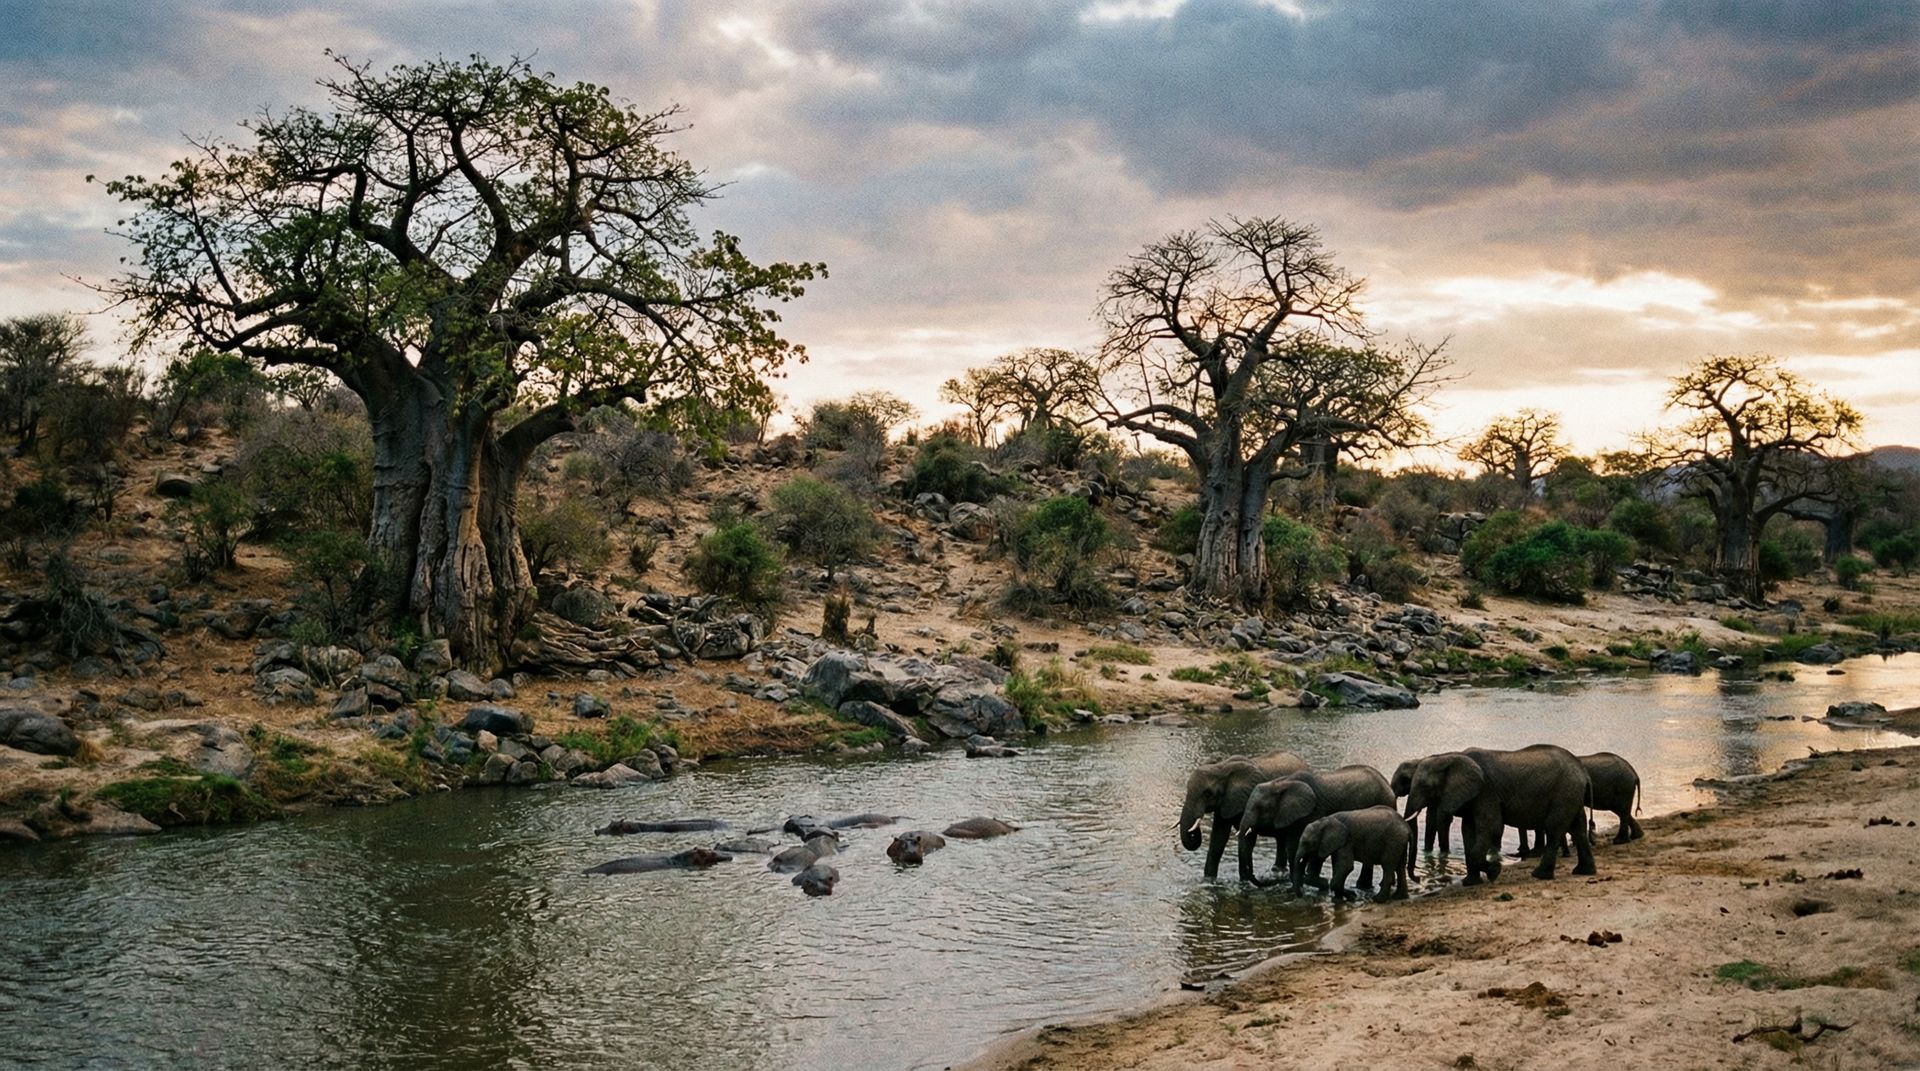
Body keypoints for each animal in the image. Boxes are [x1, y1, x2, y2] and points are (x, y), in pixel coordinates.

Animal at [1178, 750, 1308, 880]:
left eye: (1208, 794)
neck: (1221, 767)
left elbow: (1247, 840)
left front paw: (1244, 880)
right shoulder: (1225, 802)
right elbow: (1218, 838)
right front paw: (1209, 879)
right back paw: (1277, 871)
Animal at [1237, 764, 1394, 888]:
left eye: (1260, 808)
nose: (1263, 881)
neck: (1282, 783)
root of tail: (1387, 784)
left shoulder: (1312, 812)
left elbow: (1300, 846)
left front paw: (1316, 881)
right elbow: (1292, 847)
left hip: (1384, 800)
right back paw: (1363, 887)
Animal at [1402, 744, 1595, 884]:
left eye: (1425, 786)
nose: (1419, 879)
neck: (1448, 757)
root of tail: (1584, 772)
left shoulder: (1485, 791)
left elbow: (1491, 827)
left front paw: (1494, 872)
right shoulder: (1473, 797)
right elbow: (1468, 831)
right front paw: (1471, 882)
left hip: (1564, 792)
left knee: (1554, 827)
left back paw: (1539, 875)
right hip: (1571, 793)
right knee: (1578, 827)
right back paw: (1583, 872)